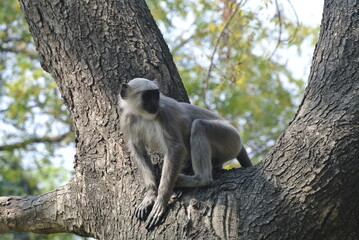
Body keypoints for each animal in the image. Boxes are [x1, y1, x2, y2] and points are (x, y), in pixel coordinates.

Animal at [119, 78, 253, 230]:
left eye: (155, 95)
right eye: (147, 96)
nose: (155, 103)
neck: (143, 116)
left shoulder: (164, 114)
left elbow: (176, 149)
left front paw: (161, 200)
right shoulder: (127, 119)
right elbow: (138, 152)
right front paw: (150, 195)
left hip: (229, 138)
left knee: (200, 126)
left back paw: (197, 179)